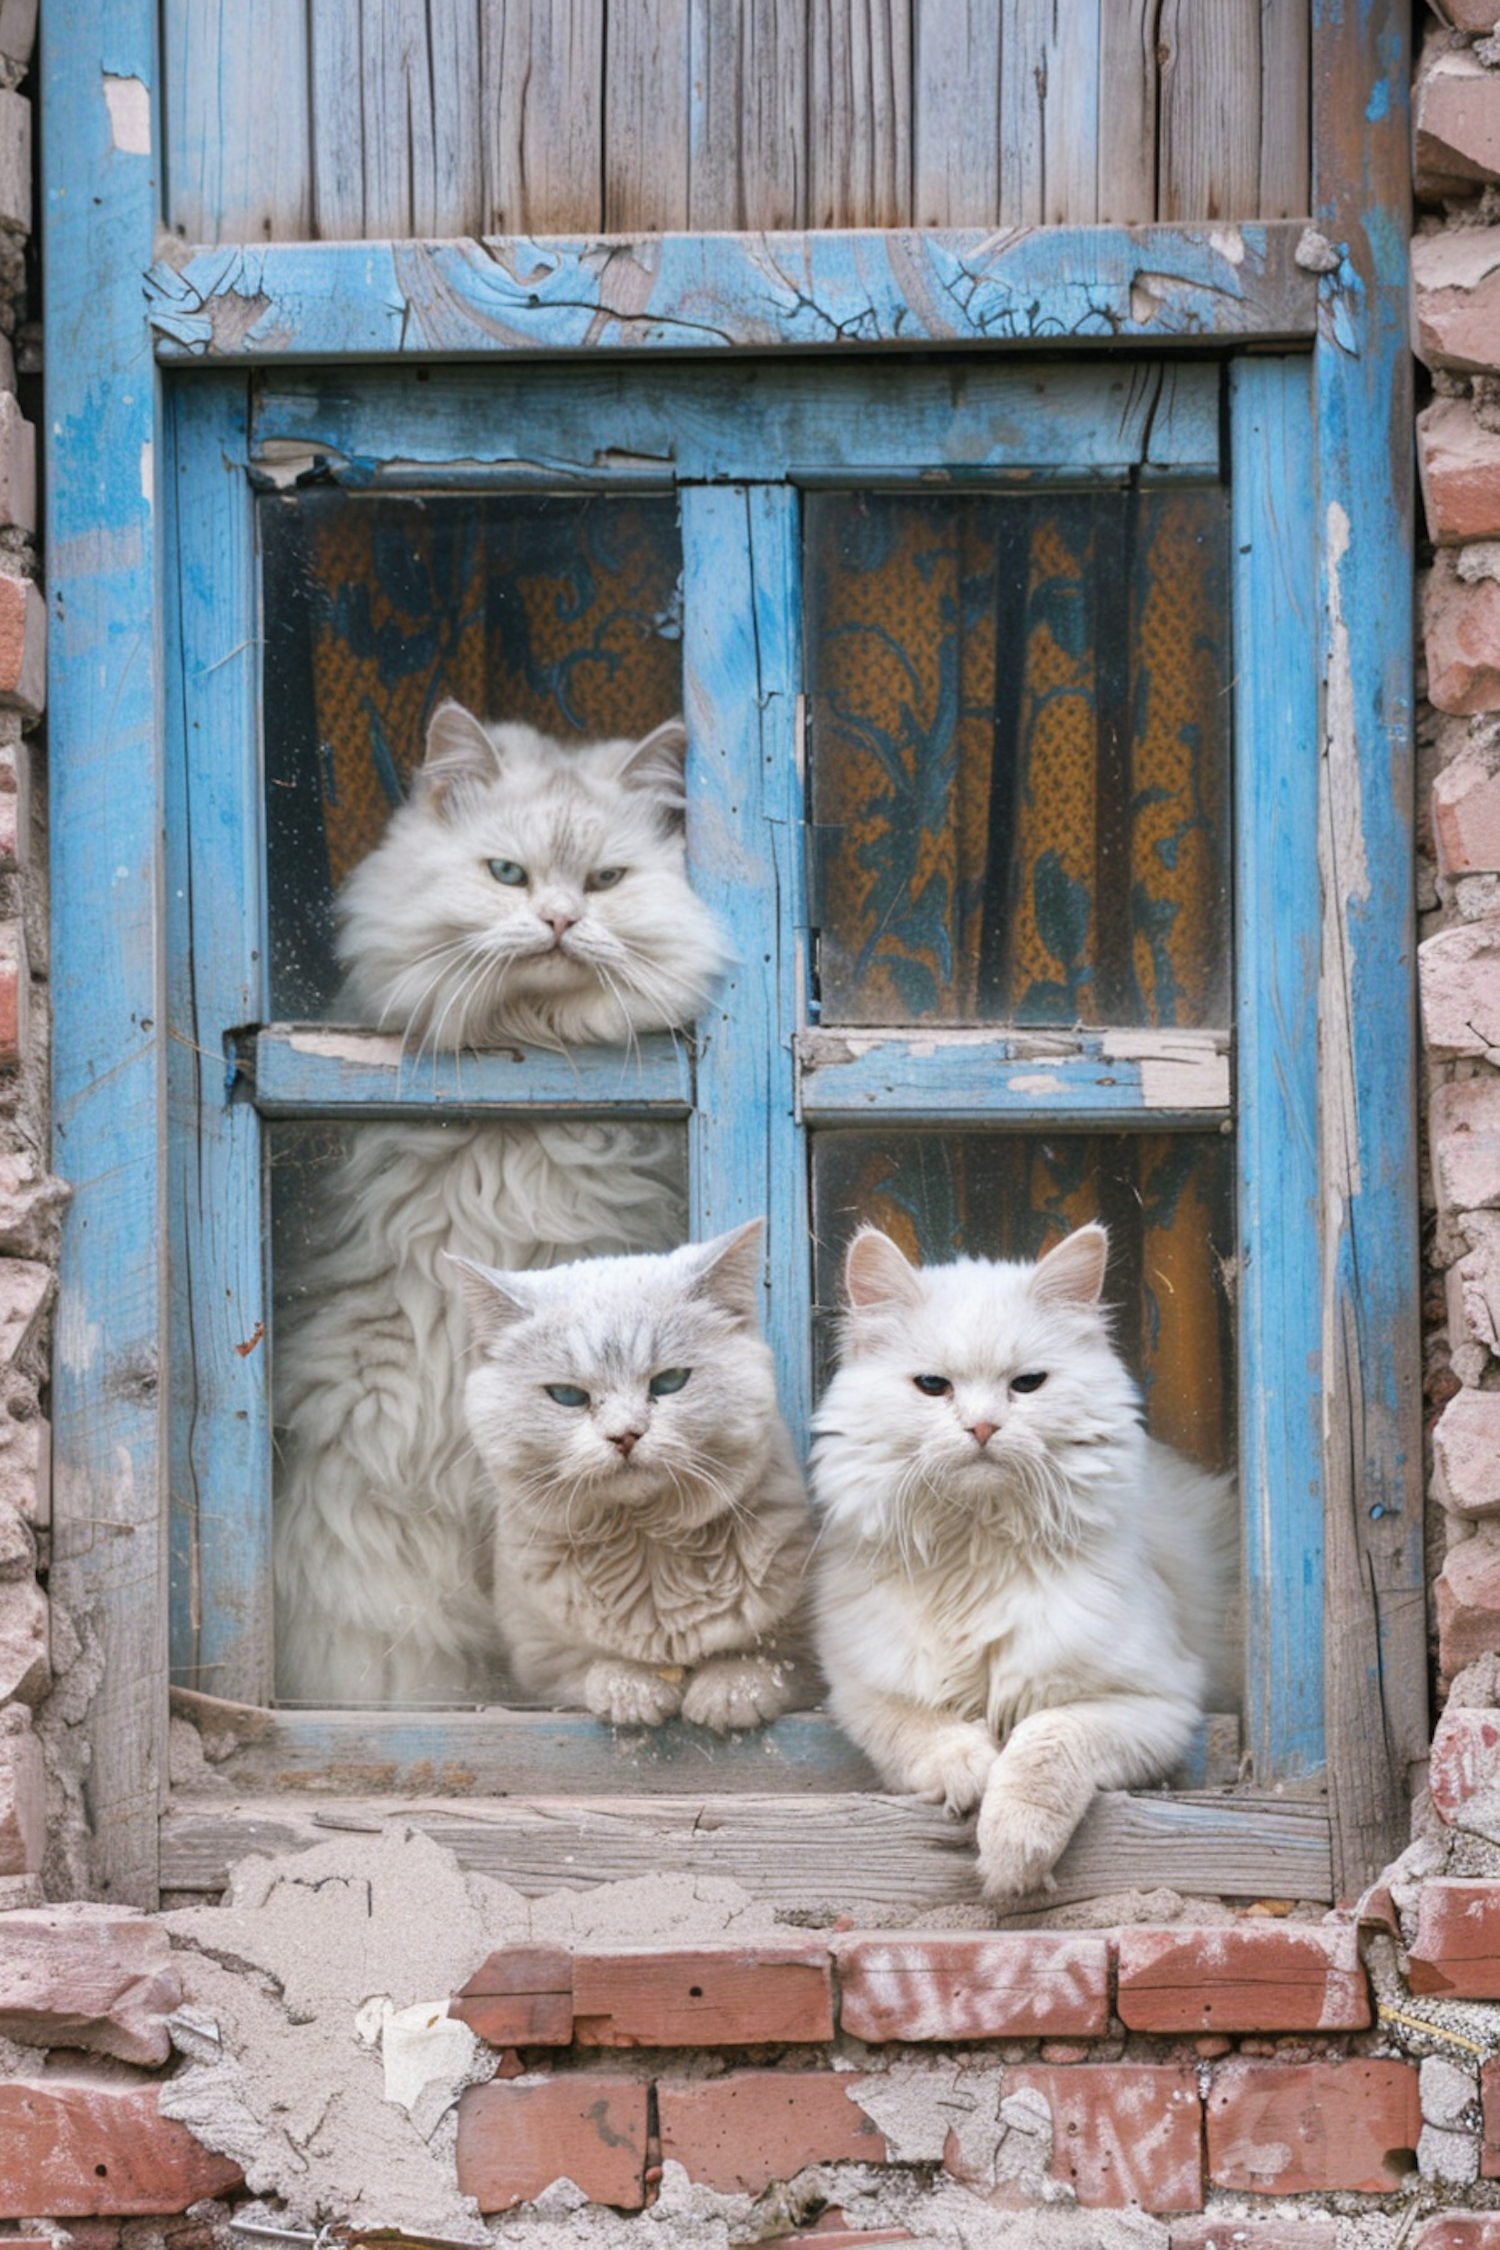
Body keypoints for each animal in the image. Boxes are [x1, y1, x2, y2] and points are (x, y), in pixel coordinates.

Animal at [454, 1224, 814, 1728]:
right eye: (567, 1395)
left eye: (671, 1381)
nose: (625, 1435)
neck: (647, 1547)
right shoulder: (538, 1657)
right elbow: (593, 1667)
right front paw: (633, 1687)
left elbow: (772, 1661)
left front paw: (729, 1690)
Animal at [809, 1233, 1232, 1899]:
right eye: (933, 1385)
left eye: (1027, 1384)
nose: (982, 1427)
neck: (977, 1553)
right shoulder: (863, 1691)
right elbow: (927, 1731)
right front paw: (969, 1773)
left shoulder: (1156, 1703)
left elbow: (1043, 1744)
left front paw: (1012, 1853)